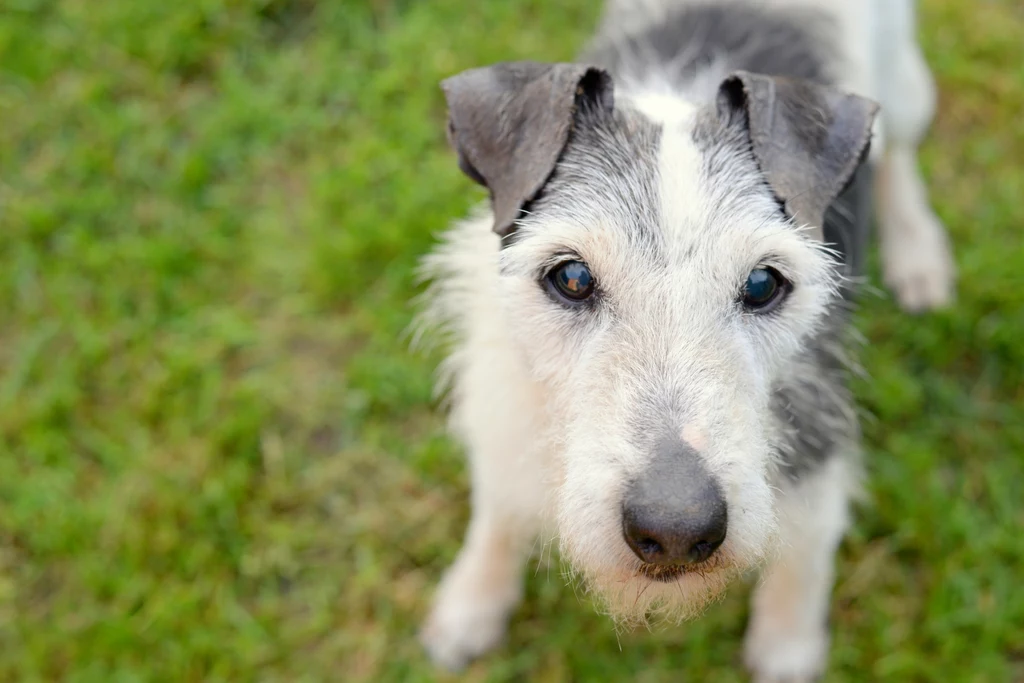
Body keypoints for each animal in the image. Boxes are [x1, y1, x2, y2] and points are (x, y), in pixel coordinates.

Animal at [413, 2, 950, 679]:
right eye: (572, 276)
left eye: (762, 282)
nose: (674, 530)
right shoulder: (501, 408)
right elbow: (497, 511)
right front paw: (471, 602)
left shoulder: (815, 443)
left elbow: (803, 560)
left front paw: (788, 644)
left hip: (902, 88)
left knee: (898, 151)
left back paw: (917, 249)